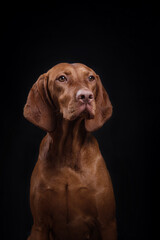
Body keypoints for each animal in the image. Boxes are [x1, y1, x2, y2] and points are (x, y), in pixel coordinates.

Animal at [23, 62, 116, 239]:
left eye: (91, 77)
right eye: (62, 78)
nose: (86, 96)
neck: (68, 151)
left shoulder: (106, 224)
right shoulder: (40, 225)